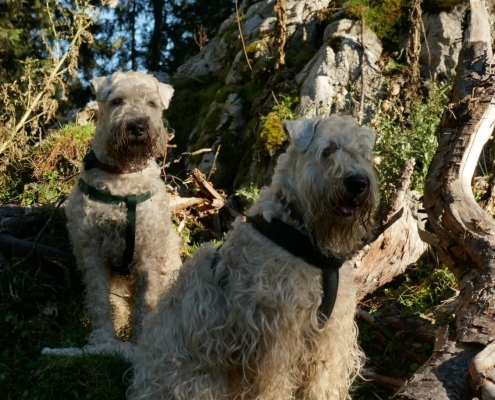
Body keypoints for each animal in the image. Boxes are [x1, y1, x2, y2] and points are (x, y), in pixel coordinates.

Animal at [129, 114, 380, 398]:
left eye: (363, 153)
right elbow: (273, 387)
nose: (357, 183)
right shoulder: (277, 338)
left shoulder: (331, 334)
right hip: (197, 381)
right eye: (327, 150)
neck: (305, 238)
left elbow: (324, 384)